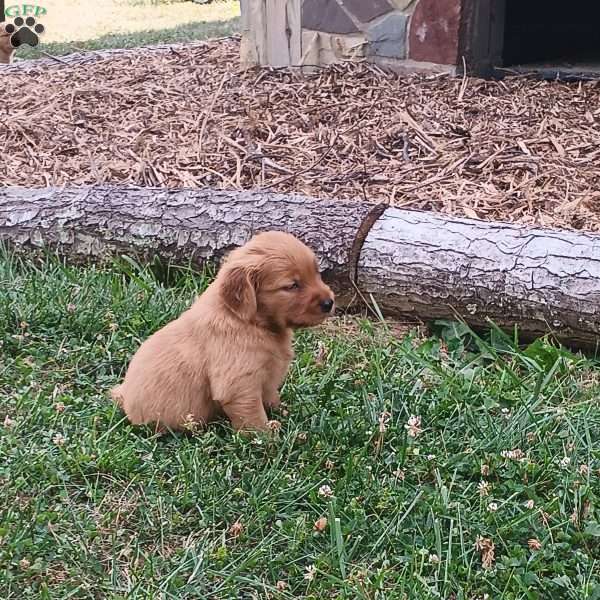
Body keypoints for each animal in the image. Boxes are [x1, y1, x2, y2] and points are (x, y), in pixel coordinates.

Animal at [110, 232, 336, 434]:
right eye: (292, 285)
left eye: (317, 273)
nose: (329, 302)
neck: (246, 320)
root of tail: (123, 396)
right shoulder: (238, 383)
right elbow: (253, 416)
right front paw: (267, 439)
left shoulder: (268, 379)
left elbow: (271, 397)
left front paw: (284, 412)